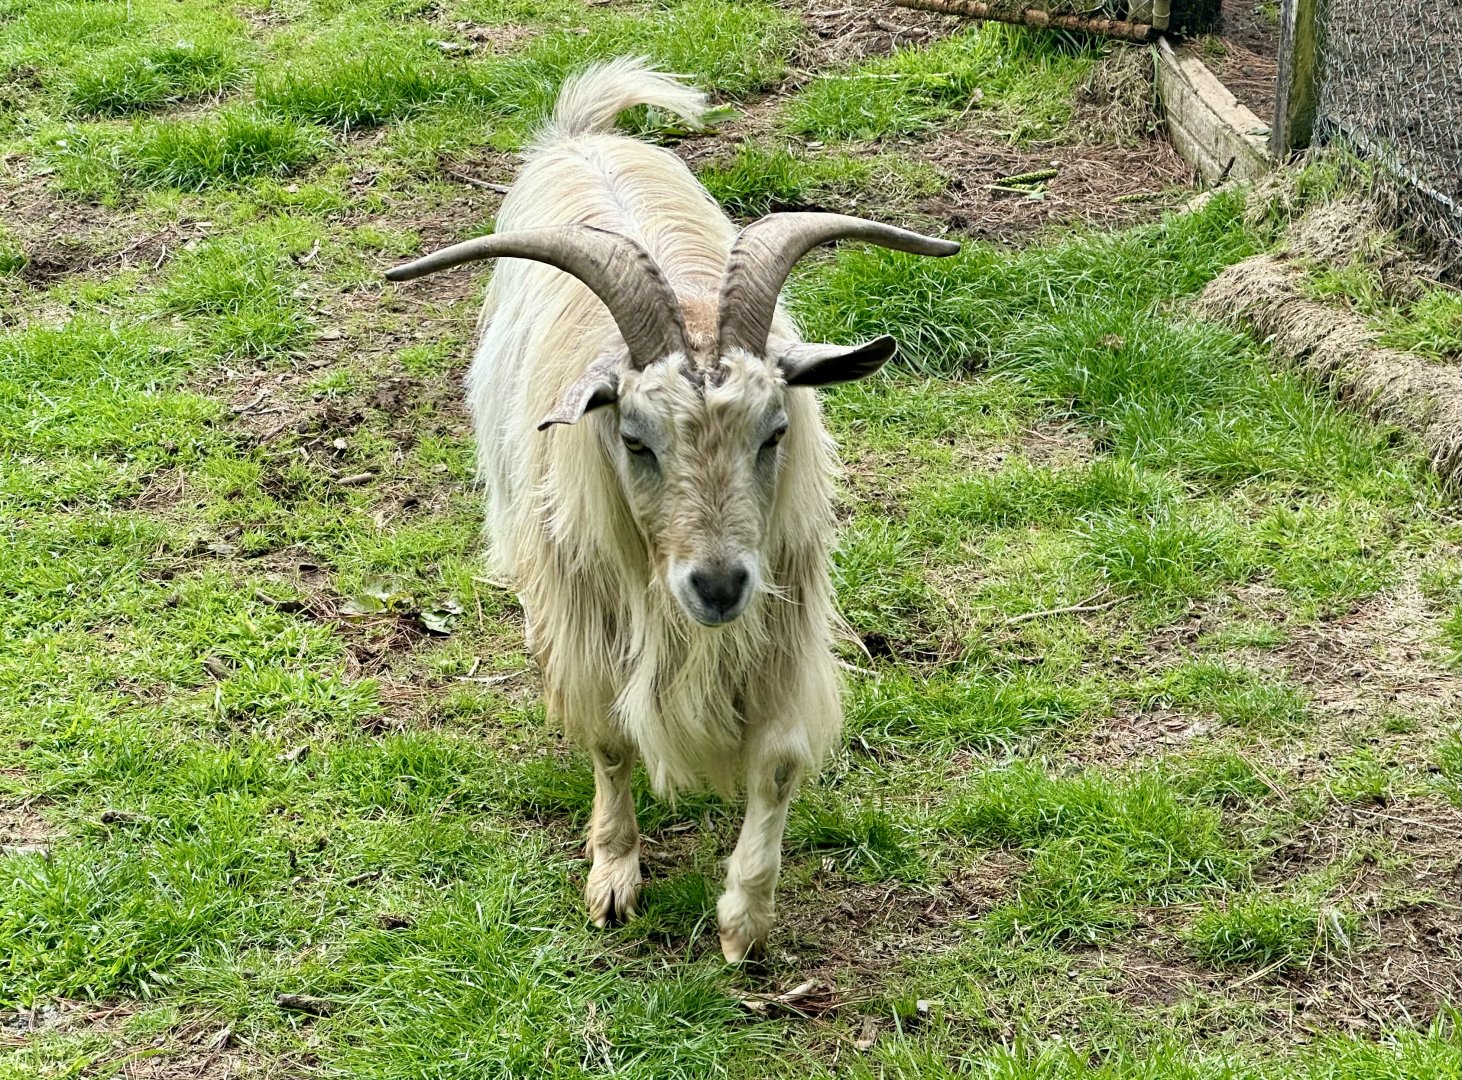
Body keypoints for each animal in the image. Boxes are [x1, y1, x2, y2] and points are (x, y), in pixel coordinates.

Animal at [385, 57, 958, 962]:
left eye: (775, 431)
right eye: (635, 439)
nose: (718, 586)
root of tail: (581, 136)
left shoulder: (782, 622)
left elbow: (778, 761)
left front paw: (744, 921)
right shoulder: (590, 611)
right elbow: (610, 736)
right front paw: (614, 877)